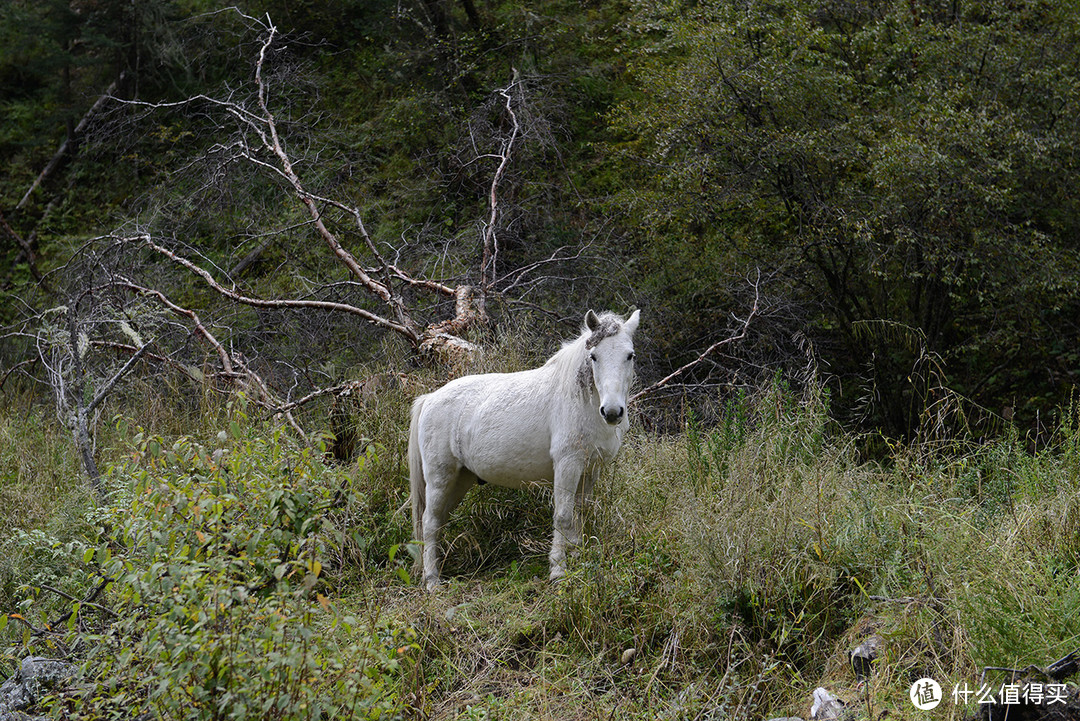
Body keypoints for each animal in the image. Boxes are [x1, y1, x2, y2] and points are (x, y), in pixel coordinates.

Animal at [408, 310, 635, 591]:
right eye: (594, 356)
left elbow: (579, 514)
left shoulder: (590, 470)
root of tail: (430, 398)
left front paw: (578, 557)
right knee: (429, 522)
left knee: (438, 520)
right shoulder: (567, 465)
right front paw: (558, 571)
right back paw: (432, 581)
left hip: (460, 481)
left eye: (629, 355)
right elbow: (563, 515)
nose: (612, 412)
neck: (582, 401)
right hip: (440, 478)